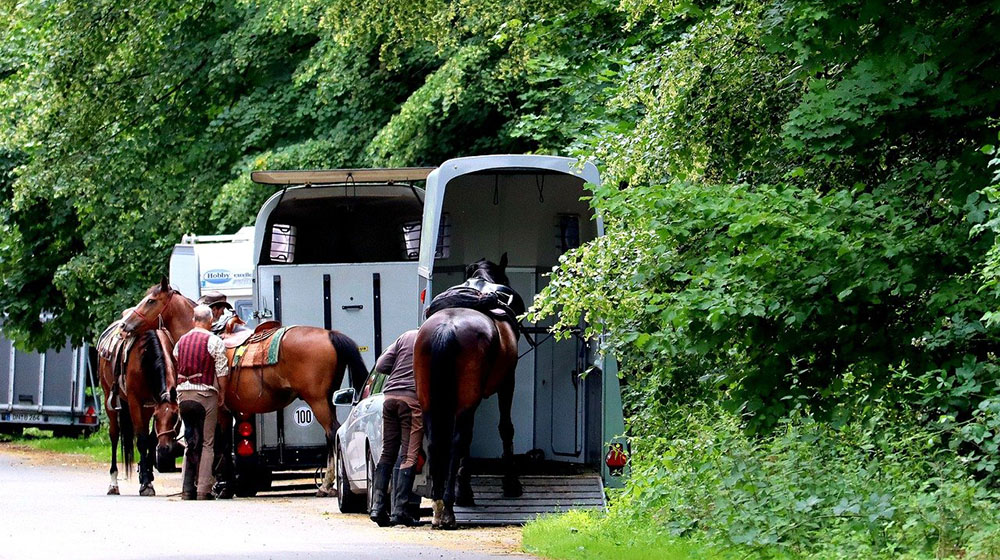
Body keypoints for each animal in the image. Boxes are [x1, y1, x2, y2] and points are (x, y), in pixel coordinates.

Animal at [97, 324, 180, 494]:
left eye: (175, 416)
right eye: (158, 417)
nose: (165, 449)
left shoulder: (152, 404)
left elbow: (151, 439)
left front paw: (146, 474)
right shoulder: (135, 402)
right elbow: (142, 440)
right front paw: (146, 484)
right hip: (110, 398)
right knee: (114, 435)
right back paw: (113, 483)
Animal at [117, 278, 368, 496]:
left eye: (151, 300)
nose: (125, 324)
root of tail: (330, 334)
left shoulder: (219, 409)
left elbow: (220, 444)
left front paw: (222, 486)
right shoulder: (232, 410)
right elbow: (224, 444)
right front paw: (222, 483)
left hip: (317, 401)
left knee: (332, 432)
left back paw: (326, 486)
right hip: (329, 399)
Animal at [412, 256, 524, 532]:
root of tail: (446, 329)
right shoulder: (507, 381)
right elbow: (505, 428)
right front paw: (510, 483)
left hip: (430, 400)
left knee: (437, 442)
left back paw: (440, 504)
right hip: (466, 400)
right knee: (457, 440)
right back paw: (449, 508)